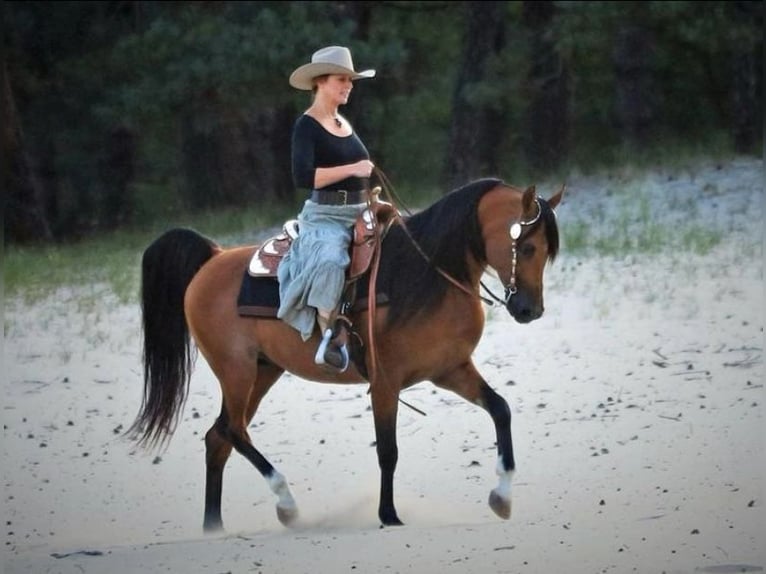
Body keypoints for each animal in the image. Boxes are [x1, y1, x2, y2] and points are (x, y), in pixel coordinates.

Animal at [130, 178, 564, 532]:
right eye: (527, 247)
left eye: (546, 252)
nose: (530, 309)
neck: (428, 275)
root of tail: (214, 256)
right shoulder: (386, 383)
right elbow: (388, 450)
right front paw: (388, 514)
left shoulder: (450, 369)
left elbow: (500, 408)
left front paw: (502, 496)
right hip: (236, 369)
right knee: (233, 431)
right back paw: (286, 504)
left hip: (262, 371)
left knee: (218, 437)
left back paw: (214, 526)